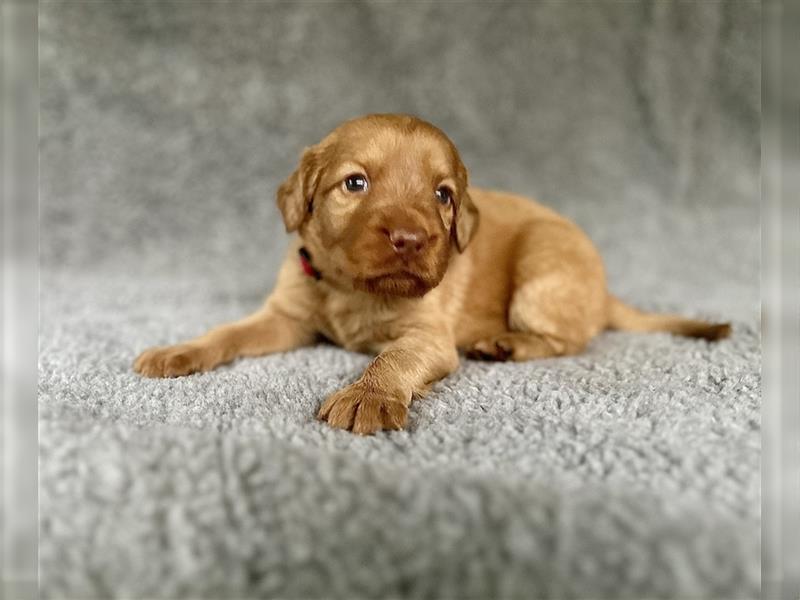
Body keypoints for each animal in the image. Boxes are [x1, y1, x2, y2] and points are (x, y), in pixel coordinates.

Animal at [134, 112, 728, 434]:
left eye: (443, 195)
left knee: (570, 340)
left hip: (543, 263)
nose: (410, 239)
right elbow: (228, 332)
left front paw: (368, 395)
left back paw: (507, 343)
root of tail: (606, 292)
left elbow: (393, 358)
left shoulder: (428, 335)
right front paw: (178, 350)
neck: (354, 290)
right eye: (355, 183)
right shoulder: (286, 316)